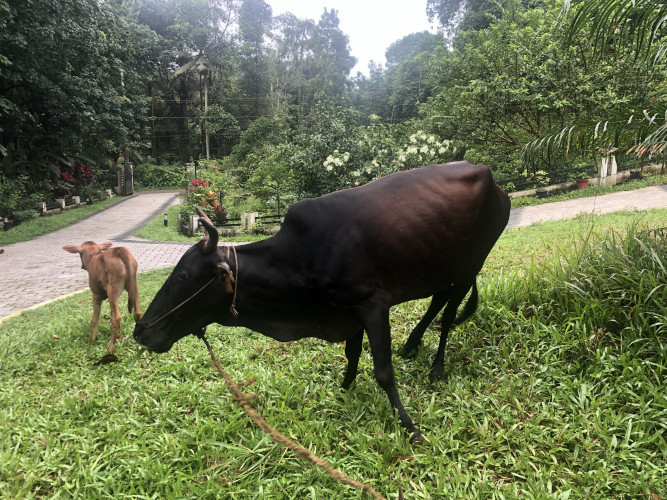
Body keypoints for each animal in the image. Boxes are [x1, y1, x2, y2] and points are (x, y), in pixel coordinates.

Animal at [133, 162, 510, 442]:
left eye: (183, 276)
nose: (141, 331)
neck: (300, 258)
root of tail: (494, 182)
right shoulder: (348, 311)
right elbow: (352, 354)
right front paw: (345, 389)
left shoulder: (372, 305)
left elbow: (383, 371)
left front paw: (408, 425)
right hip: (440, 266)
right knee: (438, 301)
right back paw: (412, 344)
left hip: (472, 265)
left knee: (447, 316)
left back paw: (437, 367)